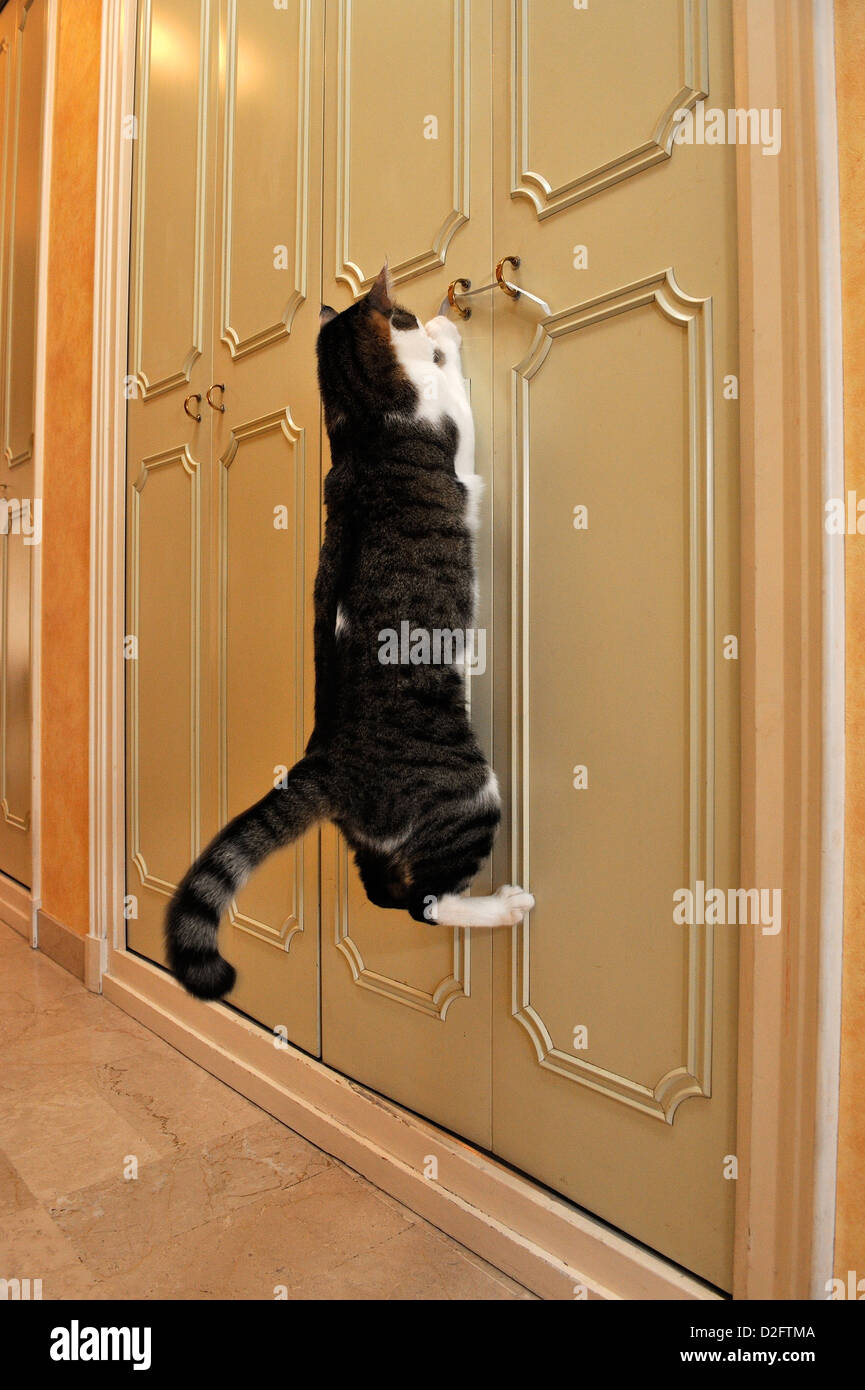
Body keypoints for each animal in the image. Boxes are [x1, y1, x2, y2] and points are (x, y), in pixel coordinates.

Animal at [164, 262, 536, 1000]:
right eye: (406, 317)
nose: (427, 309)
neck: (358, 419)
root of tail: (324, 760)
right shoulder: (450, 424)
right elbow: (454, 389)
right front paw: (447, 330)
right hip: (469, 793)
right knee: (425, 902)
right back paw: (504, 906)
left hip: (375, 840)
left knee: (382, 891)